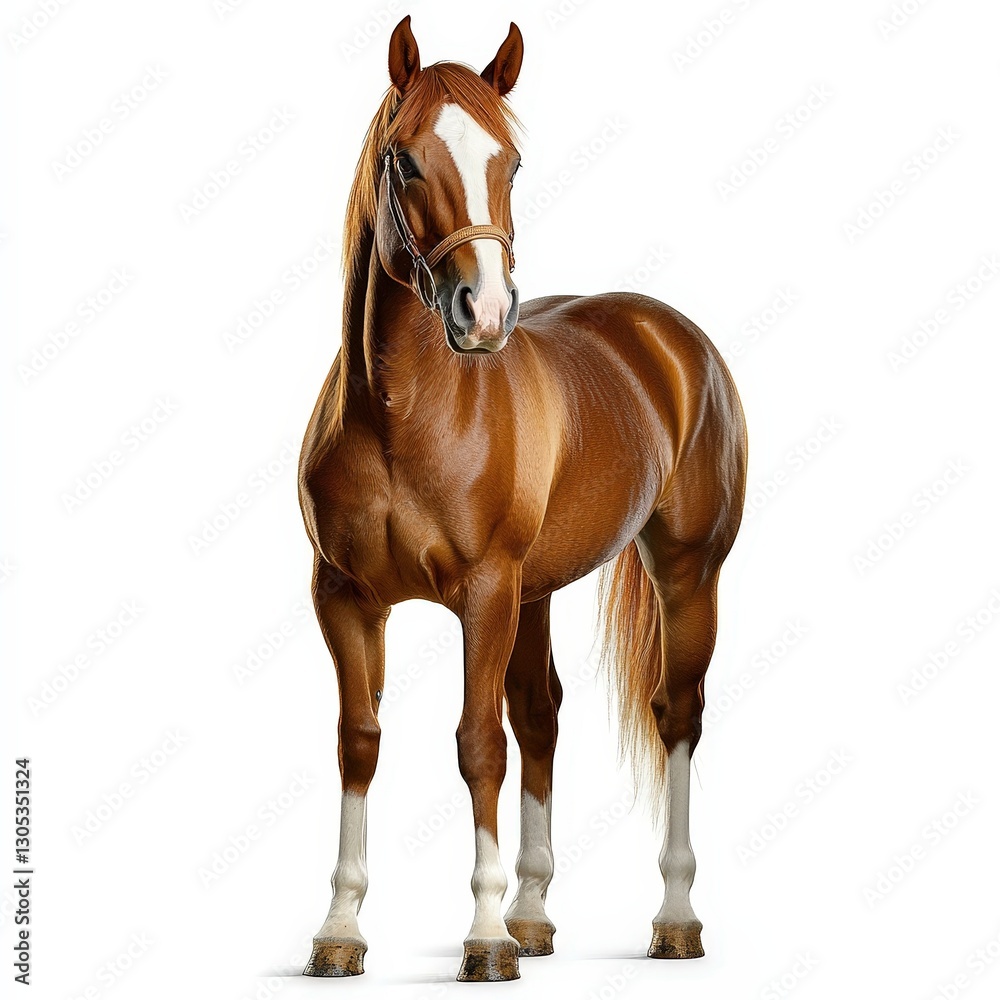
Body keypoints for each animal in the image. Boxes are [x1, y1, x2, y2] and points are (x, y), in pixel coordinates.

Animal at [297, 15, 747, 983]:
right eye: (404, 159)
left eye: (509, 163)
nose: (486, 313)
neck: (405, 416)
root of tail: (669, 336)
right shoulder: (344, 597)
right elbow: (361, 739)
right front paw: (341, 930)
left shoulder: (483, 593)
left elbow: (478, 747)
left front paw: (483, 938)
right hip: (535, 592)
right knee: (541, 715)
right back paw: (536, 914)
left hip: (684, 573)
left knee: (676, 714)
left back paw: (674, 918)